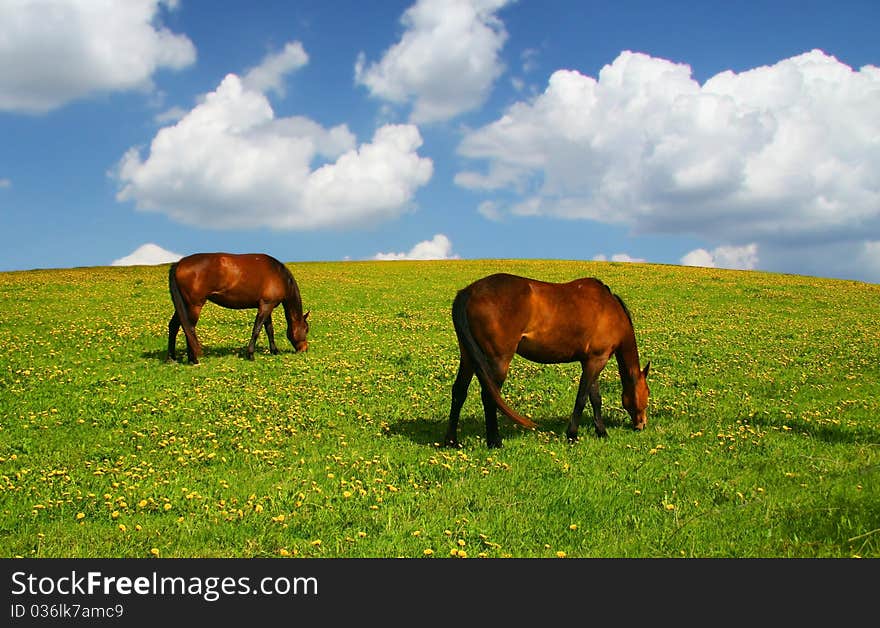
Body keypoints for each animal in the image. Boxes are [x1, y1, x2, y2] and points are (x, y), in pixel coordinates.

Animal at [168, 253, 310, 366]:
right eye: (306, 329)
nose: (305, 349)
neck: (279, 275)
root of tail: (179, 263)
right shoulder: (266, 306)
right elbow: (257, 330)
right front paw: (251, 354)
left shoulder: (267, 306)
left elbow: (269, 330)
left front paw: (274, 351)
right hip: (194, 305)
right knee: (190, 328)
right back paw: (193, 359)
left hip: (183, 305)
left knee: (175, 326)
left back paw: (172, 358)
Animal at [446, 274, 648, 446]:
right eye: (647, 393)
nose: (642, 425)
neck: (611, 310)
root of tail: (469, 292)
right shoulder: (597, 360)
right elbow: (582, 398)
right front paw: (572, 435)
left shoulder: (591, 360)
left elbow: (595, 398)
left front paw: (601, 432)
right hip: (498, 361)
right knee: (489, 396)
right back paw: (495, 441)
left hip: (468, 358)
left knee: (459, 392)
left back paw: (452, 441)